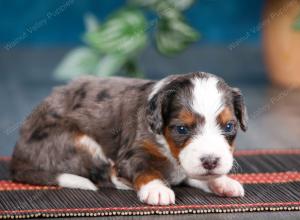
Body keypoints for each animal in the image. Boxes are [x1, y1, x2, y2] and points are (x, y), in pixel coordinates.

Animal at [10, 72, 247, 205]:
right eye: (181, 129)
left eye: (229, 126)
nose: (211, 161)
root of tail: (17, 157)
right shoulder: (131, 154)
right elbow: (145, 168)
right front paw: (156, 189)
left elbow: (193, 174)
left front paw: (223, 182)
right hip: (76, 141)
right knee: (104, 173)